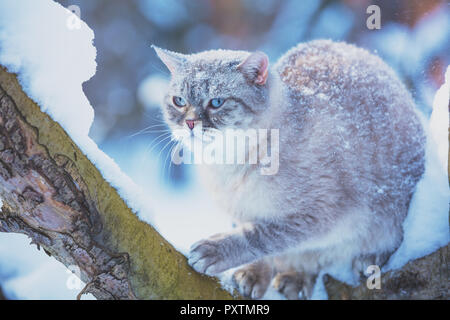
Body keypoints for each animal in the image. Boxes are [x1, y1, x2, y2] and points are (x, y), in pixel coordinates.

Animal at [154, 40, 426, 300]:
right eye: (179, 102)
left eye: (216, 103)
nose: (190, 123)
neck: (228, 165)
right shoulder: (242, 212)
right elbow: (264, 249)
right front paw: (253, 276)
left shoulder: (315, 214)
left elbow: (261, 236)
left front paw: (215, 251)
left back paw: (367, 260)